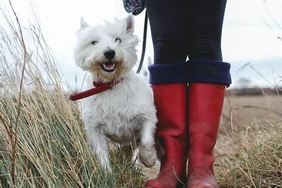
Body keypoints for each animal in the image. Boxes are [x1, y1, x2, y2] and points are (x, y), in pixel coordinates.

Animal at [71, 13, 158, 172]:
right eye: (94, 42)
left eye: (118, 39)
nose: (109, 52)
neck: (109, 85)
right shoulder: (95, 129)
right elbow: (101, 154)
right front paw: (107, 173)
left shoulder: (147, 115)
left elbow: (146, 140)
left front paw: (148, 158)